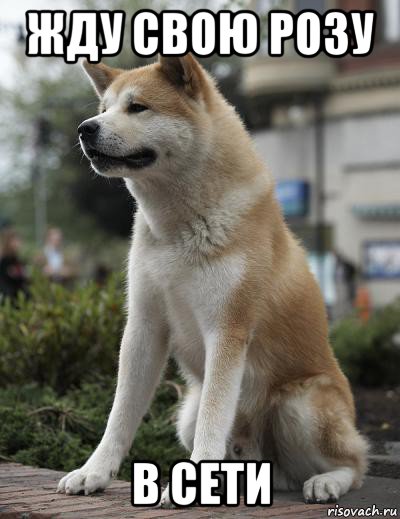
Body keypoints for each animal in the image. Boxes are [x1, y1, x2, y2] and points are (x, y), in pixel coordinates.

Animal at [57, 54, 368, 506]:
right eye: (103, 109)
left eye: (137, 108)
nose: (85, 128)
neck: (178, 228)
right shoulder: (144, 327)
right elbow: (120, 415)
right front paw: (93, 472)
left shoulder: (227, 329)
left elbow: (214, 415)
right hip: (185, 413)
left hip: (301, 405)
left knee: (355, 464)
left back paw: (326, 481)